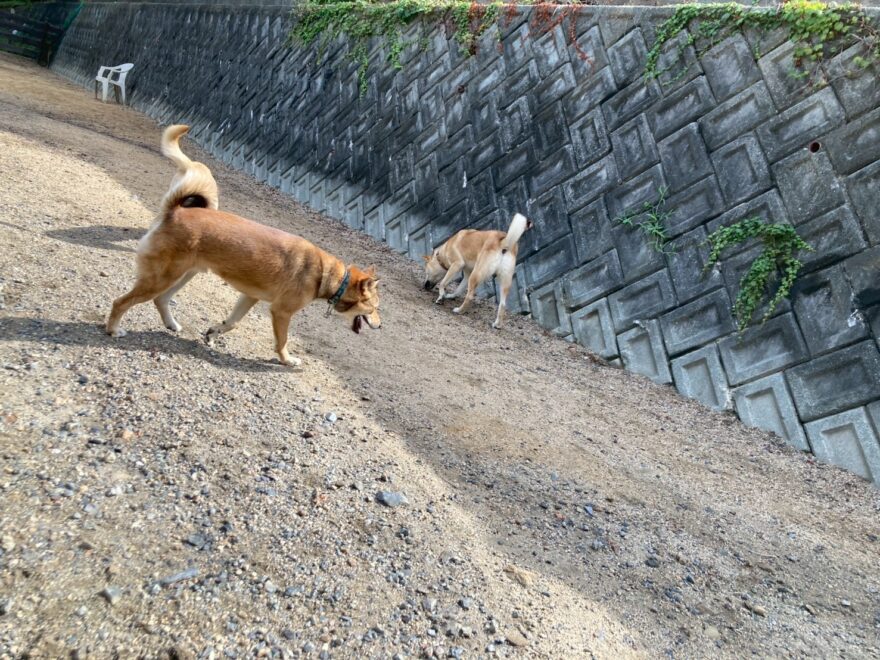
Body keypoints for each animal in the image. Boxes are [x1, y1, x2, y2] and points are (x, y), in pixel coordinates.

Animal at [106, 125, 381, 366]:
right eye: (374, 308)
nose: (381, 325)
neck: (326, 274)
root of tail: (174, 212)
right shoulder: (281, 312)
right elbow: (282, 341)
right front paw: (287, 360)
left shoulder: (250, 296)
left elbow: (233, 323)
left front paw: (213, 333)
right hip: (161, 277)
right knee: (121, 302)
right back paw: (113, 330)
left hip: (184, 274)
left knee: (160, 300)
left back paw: (171, 324)